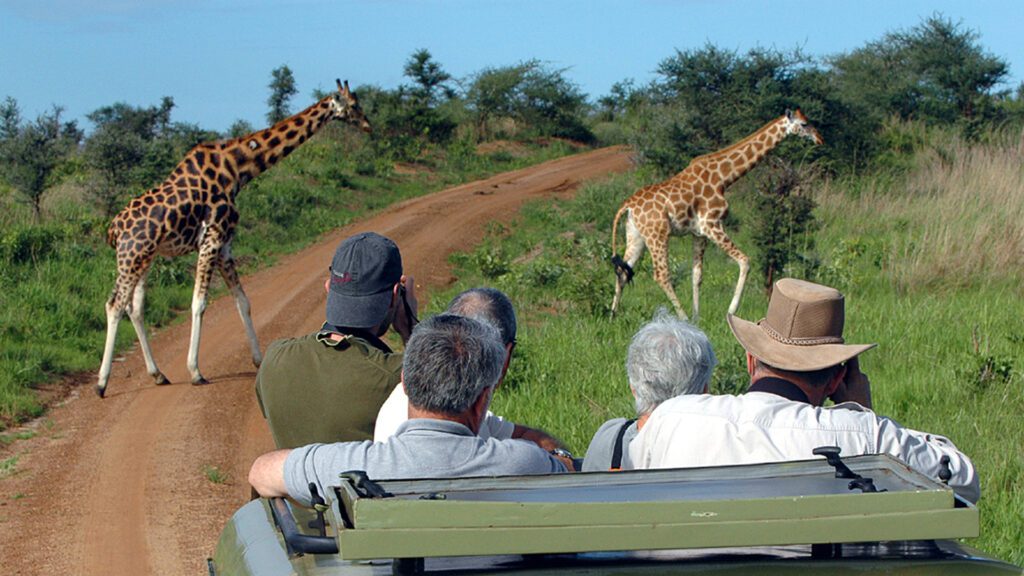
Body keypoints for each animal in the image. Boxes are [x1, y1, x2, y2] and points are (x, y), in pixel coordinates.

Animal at [96, 79, 371, 398]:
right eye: (354, 105)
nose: (367, 125)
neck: (238, 168)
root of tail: (113, 229)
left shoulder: (225, 243)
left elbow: (243, 300)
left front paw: (259, 360)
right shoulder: (212, 238)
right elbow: (199, 303)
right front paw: (195, 371)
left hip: (145, 258)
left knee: (135, 308)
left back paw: (158, 374)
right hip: (131, 256)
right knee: (114, 305)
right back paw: (101, 384)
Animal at [610, 109, 823, 323]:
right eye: (804, 124)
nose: (820, 139)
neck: (724, 178)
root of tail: (627, 206)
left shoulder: (699, 233)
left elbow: (696, 276)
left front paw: (697, 319)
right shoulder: (711, 224)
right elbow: (745, 261)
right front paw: (730, 311)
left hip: (637, 235)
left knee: (623, 269)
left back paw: (613, 316)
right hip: (658, 234)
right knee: (661, 274)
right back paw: (681, 317)